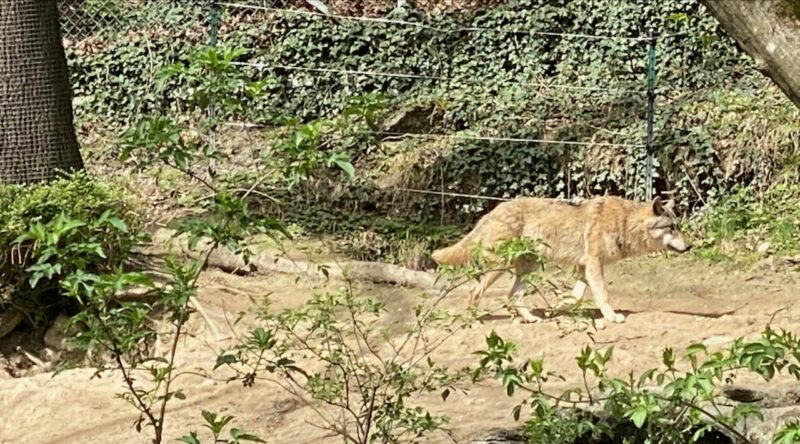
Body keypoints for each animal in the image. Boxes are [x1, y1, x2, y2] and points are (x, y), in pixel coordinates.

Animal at [434, 196, 692, 324]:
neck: (625, 222)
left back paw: (531, 318)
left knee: (513, 295)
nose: (690, 246)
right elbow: (603, 295)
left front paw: (556, 309)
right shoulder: (594, 263)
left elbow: (574, 296)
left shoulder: (584, 267)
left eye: (678, 227)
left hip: (528, 267)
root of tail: (490, 213)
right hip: (500, 267)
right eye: (671, 228)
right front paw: (612, 317)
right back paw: (474, 320)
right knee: (474, 292)